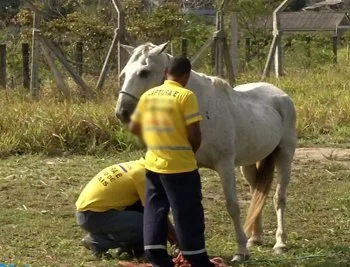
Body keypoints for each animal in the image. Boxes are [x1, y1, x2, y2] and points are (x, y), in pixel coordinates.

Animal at [115, 42, 296, 262]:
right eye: (124, 73)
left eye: (144, 72)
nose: (122, 113)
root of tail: (281, 95)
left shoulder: (225, 166)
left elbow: (232, 206)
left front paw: (240, 251)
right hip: (249, 164)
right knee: (257, 193)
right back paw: (255, 238)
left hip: (285, 156)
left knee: (279, 197)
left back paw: (280, 243)